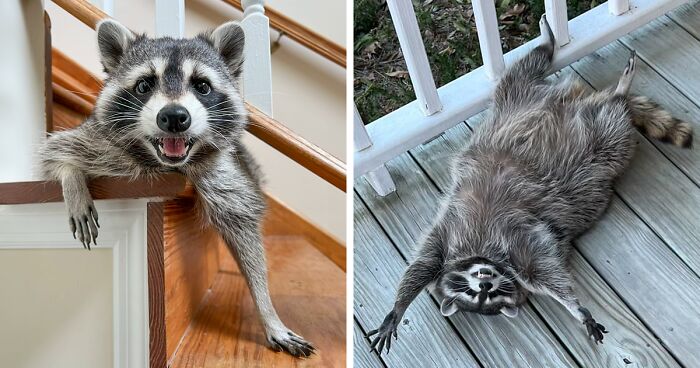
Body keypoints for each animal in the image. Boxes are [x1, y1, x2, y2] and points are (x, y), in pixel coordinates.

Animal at [42, 19, 316, 356]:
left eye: (202, 86)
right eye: (144, 85)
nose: (174, 117)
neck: (169, 165)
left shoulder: (224, 175)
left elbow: (246, 234)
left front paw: (267, 310)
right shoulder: (98, 140)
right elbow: (56, 152)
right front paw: (72, 179)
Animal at [370, 15, 692, 354]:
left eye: (485, 291)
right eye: (476, 295)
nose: (485, 281)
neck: (483, 251)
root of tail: (576, 98)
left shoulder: (460, 234)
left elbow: (423, 265)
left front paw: (397, 307)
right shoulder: (515, 246)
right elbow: (543, 270)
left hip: (514, 99)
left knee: (523, 70)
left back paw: (576, 62)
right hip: (597, 142)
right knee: (600, 118)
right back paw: (613, 93)